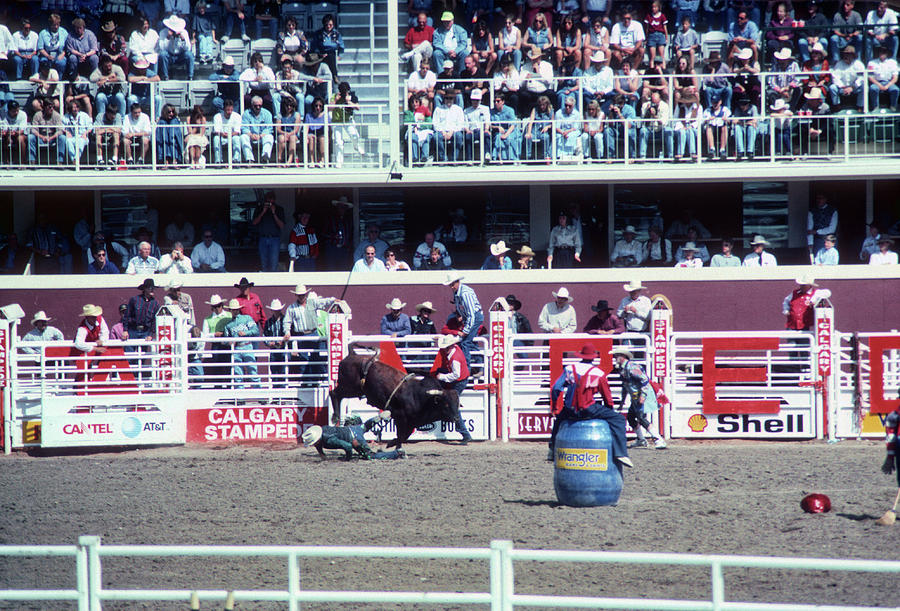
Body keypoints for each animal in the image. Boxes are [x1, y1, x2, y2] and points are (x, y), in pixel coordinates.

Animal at [326, 350, 460, 450]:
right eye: (446, 404)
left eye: (457, 404)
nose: (456, 419)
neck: (418, 396)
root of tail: (347, 358)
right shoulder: (400, 417)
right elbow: (401, 435)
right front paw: (396, 447)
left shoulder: (412, 422)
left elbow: (404, 436)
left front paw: (392, 443)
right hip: (349, 387)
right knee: (334, 393)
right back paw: (336, 417)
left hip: (356, 390)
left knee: (338, 395)